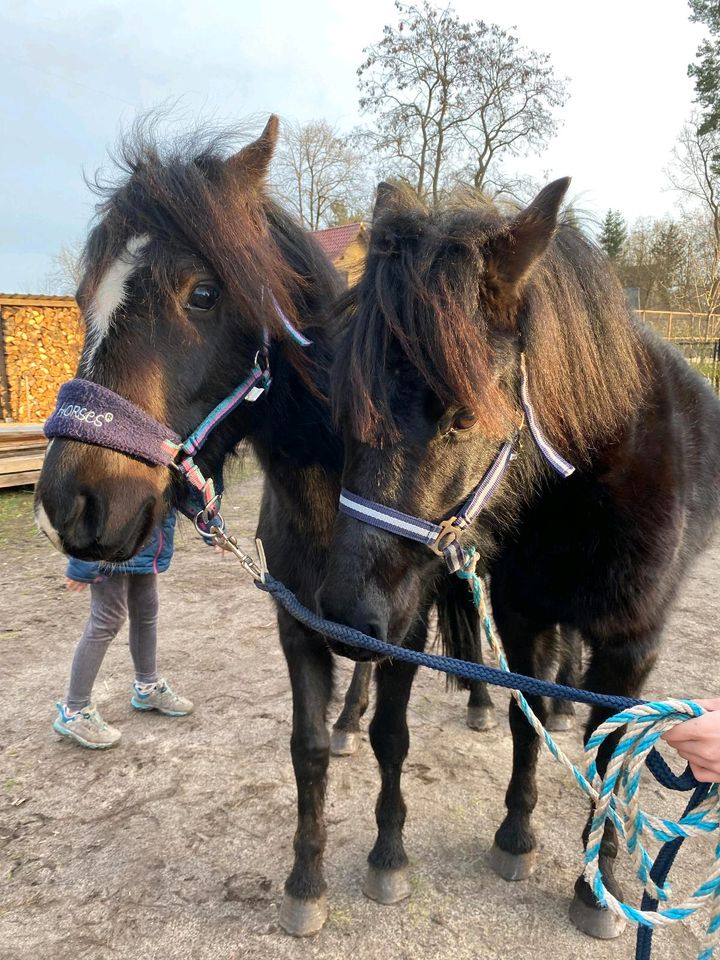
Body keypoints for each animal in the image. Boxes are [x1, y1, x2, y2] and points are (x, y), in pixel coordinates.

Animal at [320, 178, 720, 936]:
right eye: (347, 405)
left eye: (462, 418)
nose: (347, 618)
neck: (583, 487)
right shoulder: (521, 612)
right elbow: (521, 720)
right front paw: (516, 837)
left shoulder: (632, 643)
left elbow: (613, 751)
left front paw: (599, 887)